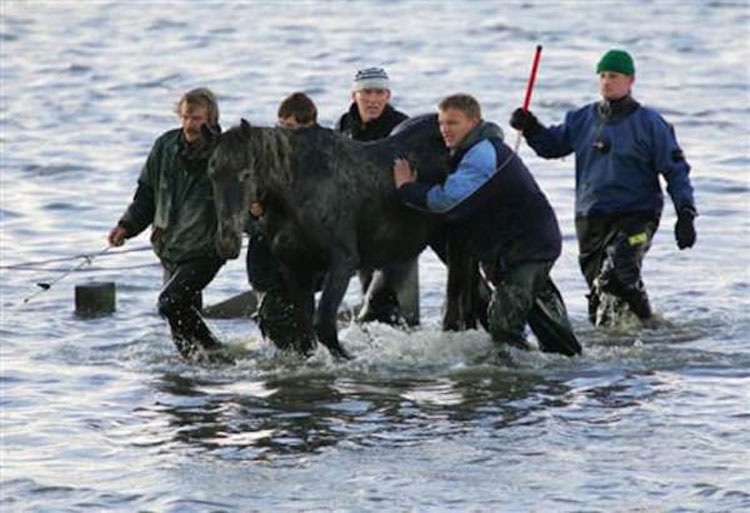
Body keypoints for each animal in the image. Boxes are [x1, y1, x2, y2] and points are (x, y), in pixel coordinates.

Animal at [206, 114, 488, 358]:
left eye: (246, 174)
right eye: (212, 173)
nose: (227, 242)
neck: (298, 191)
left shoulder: (343, 262)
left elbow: (324, 324)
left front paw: (349, 358)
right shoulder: (296, 267)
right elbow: (305, 330)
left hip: (458, 243)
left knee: (457, 300)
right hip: (441, 242)